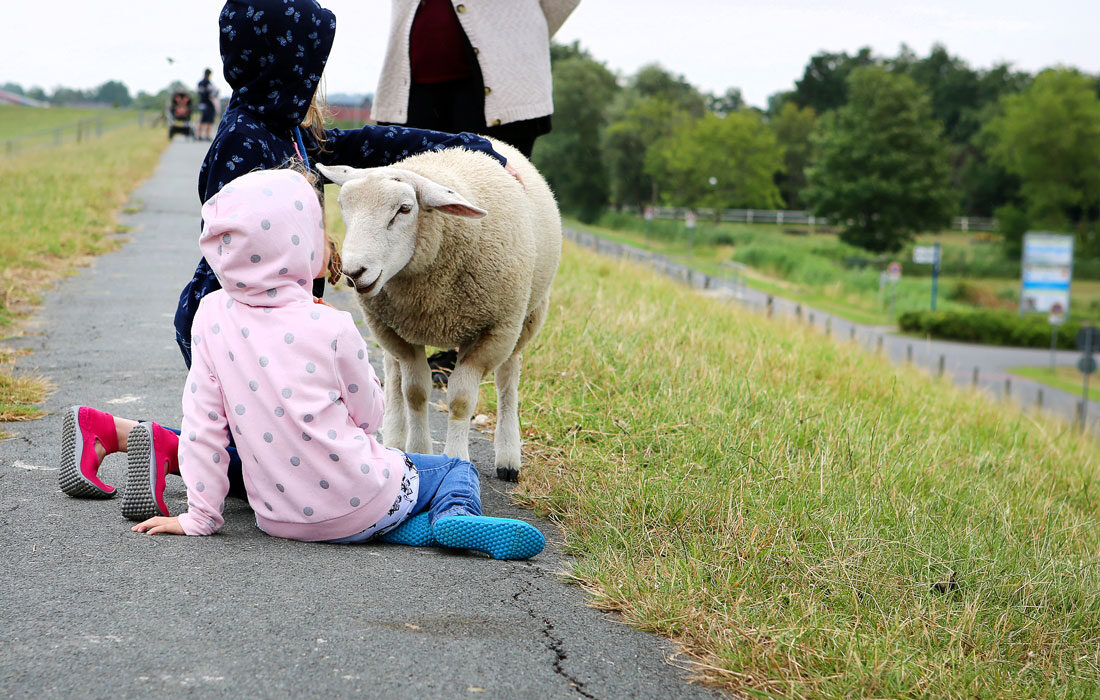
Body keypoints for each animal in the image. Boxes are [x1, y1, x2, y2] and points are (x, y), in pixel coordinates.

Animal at [316, 140, 558, 482]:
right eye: (344, 207)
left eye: (405, 209)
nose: (353, 272)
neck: (428, 297)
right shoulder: (395, 330)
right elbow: (415, 392)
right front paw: (419, 450)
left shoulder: (494, 331)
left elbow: (461, 401)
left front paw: (456, 457)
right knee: (393, 372)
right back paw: (394, 435)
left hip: (526, 317)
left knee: (508, 379)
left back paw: (509, 456)